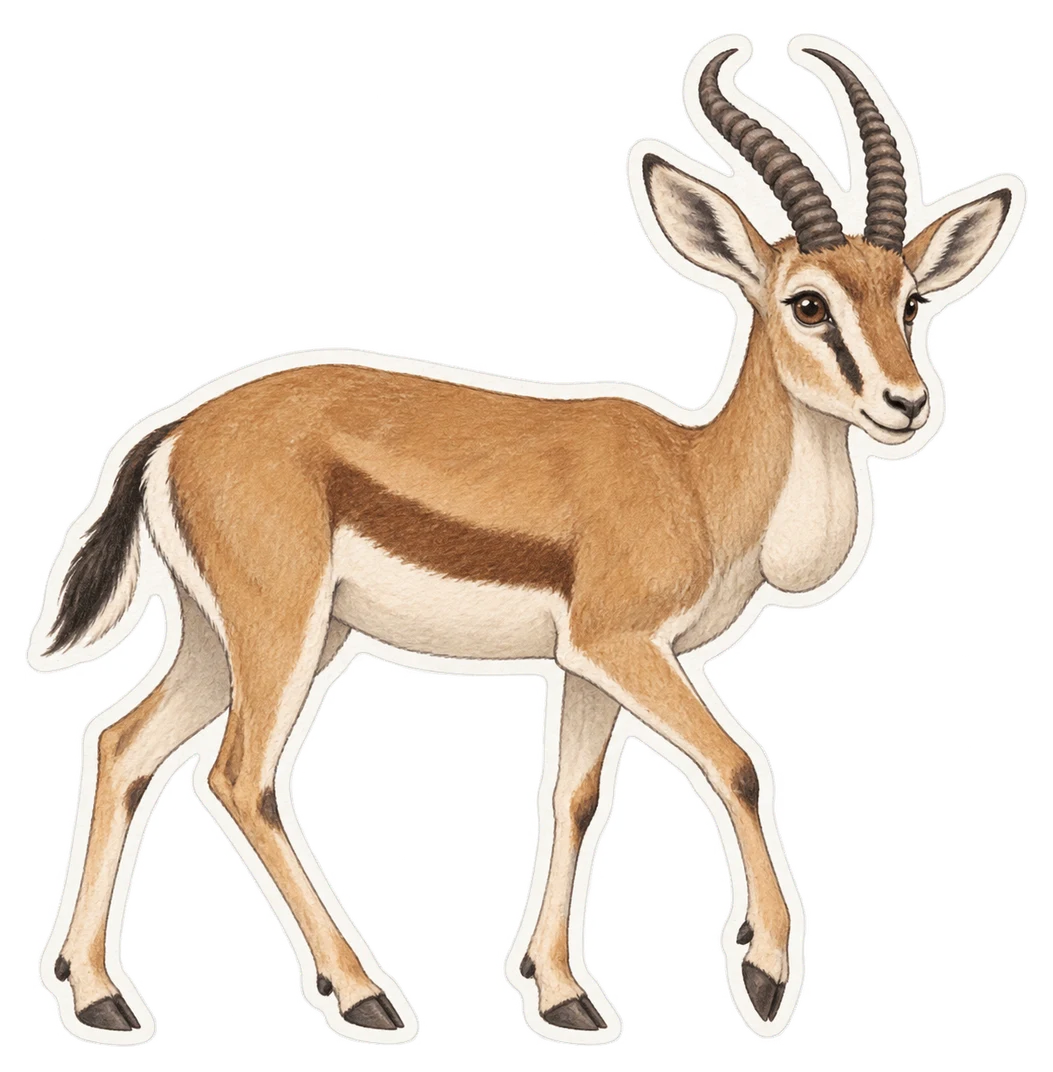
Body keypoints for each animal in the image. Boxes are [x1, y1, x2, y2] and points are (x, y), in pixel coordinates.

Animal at [32, 41, 1018, 1041]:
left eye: (908, 300)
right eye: (808, 303)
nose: (905, 404)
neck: (694, 480)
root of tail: (176, 433)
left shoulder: (588, 664)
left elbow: (574, 798)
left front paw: (563, 992)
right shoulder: (624, 645)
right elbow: (738, 765)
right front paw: (765, 972)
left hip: (228, 637)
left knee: (121, 746)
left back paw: (99, 992)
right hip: (281, 634)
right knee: (241, 776)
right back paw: (363, 992)